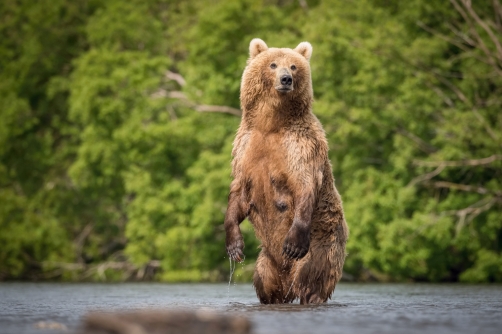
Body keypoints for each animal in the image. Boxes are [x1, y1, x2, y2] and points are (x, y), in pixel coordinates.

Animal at [225, 37, 350, 304]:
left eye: (293, 66)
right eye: (273, 64)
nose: (286, 79)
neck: (272, 123)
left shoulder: (301, 147)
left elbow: (304, 186)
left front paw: (293, 244)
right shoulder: (246, 149)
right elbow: (238, 193)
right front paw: (234, 246)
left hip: (322, 246)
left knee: (311, 279)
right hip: (267, 261)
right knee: (265, 284)